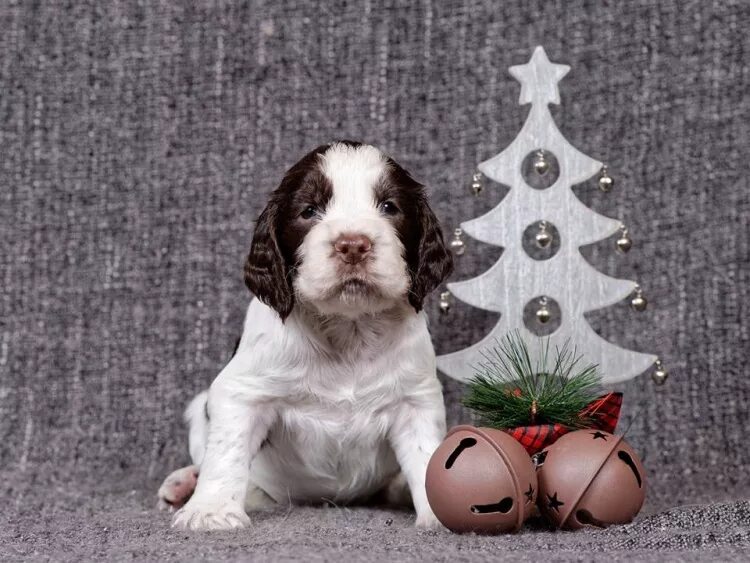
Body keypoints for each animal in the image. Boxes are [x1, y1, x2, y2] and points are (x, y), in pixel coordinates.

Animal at [160, 142, 452, 532]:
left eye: (390, 207)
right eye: (309, 210)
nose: (353, 245)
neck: (348, 329)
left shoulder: (416, 399)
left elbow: (426, 454)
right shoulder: (241, 392)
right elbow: (226, 450)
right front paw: (211, 510)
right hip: (199, 408)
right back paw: (185, 484)